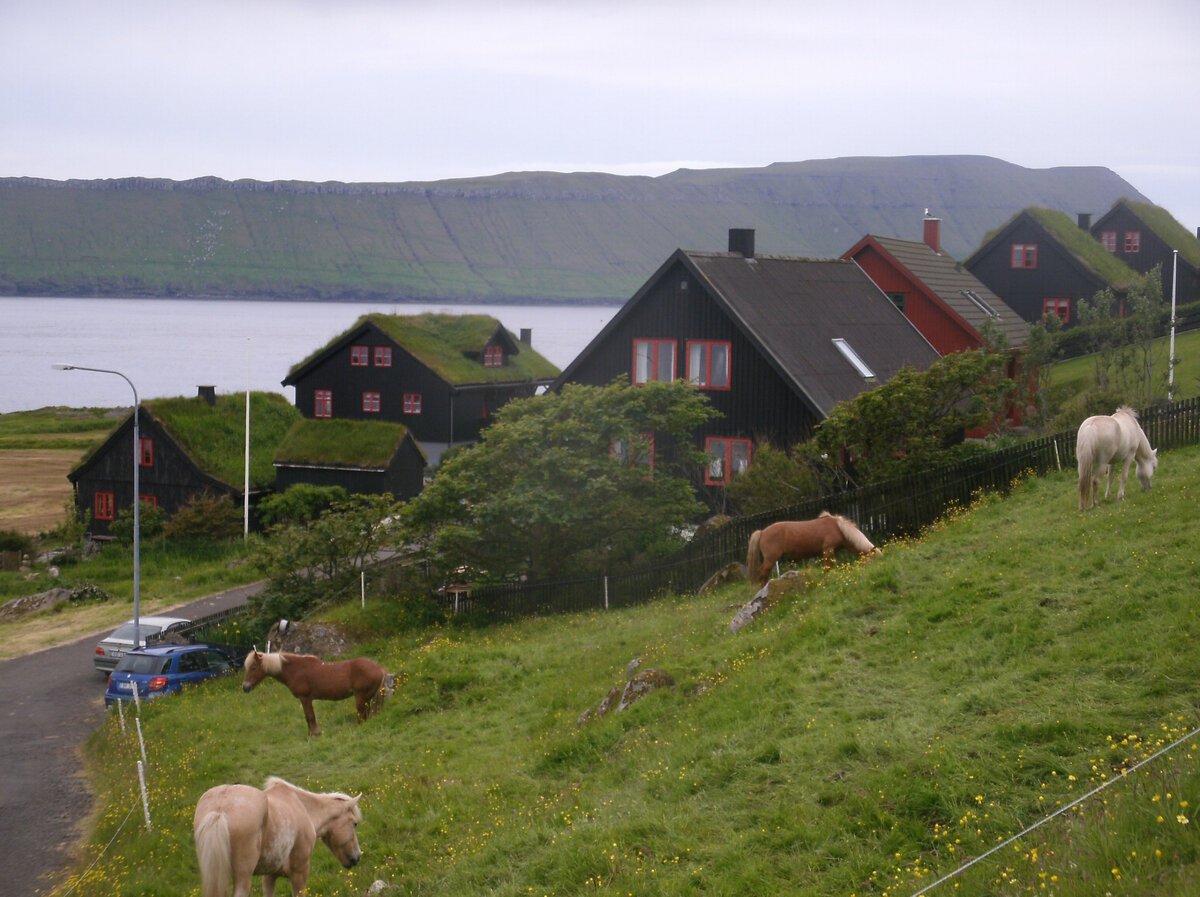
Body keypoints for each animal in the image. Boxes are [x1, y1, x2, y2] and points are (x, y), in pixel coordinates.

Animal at [189, 772, 360, 892]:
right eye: (355, 824)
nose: (357, 856)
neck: (302, 807)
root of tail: (219, 810)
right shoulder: (300, 873)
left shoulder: (269, 876)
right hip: (243, 878)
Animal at [243, 652, 388, 733]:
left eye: (253, 667)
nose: (245, 687)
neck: (296, 670)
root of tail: (380, 669)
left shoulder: (305, 698)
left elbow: (310, 717)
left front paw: (314, 734)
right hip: (366, 698)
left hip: (360, 696)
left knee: (361, 714)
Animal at [739, 510, 883, 587]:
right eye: (873, 559)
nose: (873, 572)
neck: (838, 528)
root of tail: (762, 532)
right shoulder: (828, 550)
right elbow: (828, 568)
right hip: (771, 558)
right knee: (762, 573)